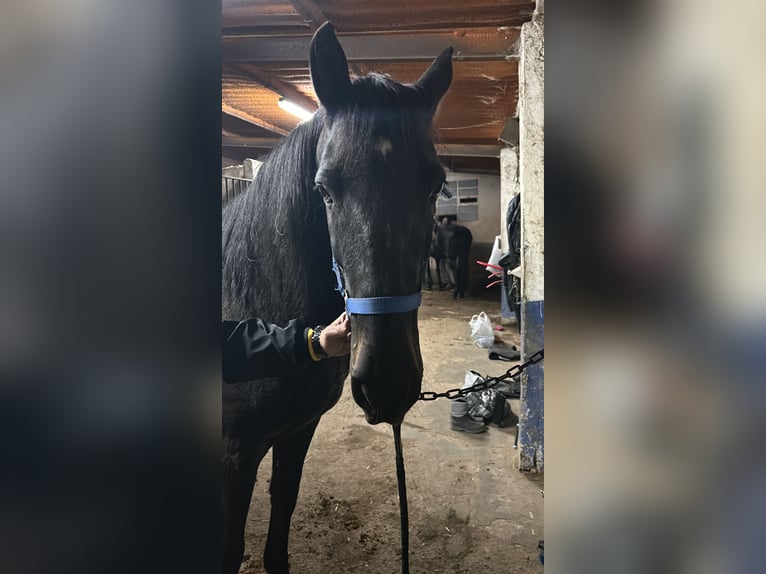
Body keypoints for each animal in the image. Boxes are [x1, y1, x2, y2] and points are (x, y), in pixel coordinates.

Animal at [222, 22, 452, 574]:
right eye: (324, 189)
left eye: (435, 185)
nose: (388, 384)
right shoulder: (236, 454)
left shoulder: (296, 432)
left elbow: (279, 531)